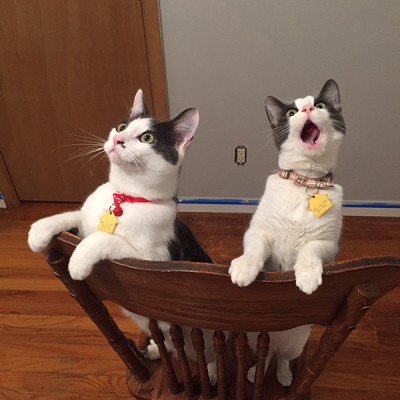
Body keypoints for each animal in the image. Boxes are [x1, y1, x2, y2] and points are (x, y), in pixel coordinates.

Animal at [28, 90, 217, 382]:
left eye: (147, 138)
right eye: (121, 127)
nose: (117, 139)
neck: (127, 197)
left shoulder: (153, 260)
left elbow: (107, 239)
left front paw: (78, 260)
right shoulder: (85, 221)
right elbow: (74, 216)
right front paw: (40, 229)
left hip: (204, 335)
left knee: (208, 353)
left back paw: (212, 372)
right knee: (170, 343)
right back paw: (155, 350)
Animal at [230, 79, 346, 388]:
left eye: (320, 105)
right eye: (292, 113)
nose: (306, 109)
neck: (306, 181)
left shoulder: (326, 243)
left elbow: (309, 252)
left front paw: (306, 277)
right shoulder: (259, 231)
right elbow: (255, 250)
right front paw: (244, 269)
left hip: (297, 341)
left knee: (281, 357)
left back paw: (283, 377)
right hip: (252, 336)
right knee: (265, 355)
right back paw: (251, 373)